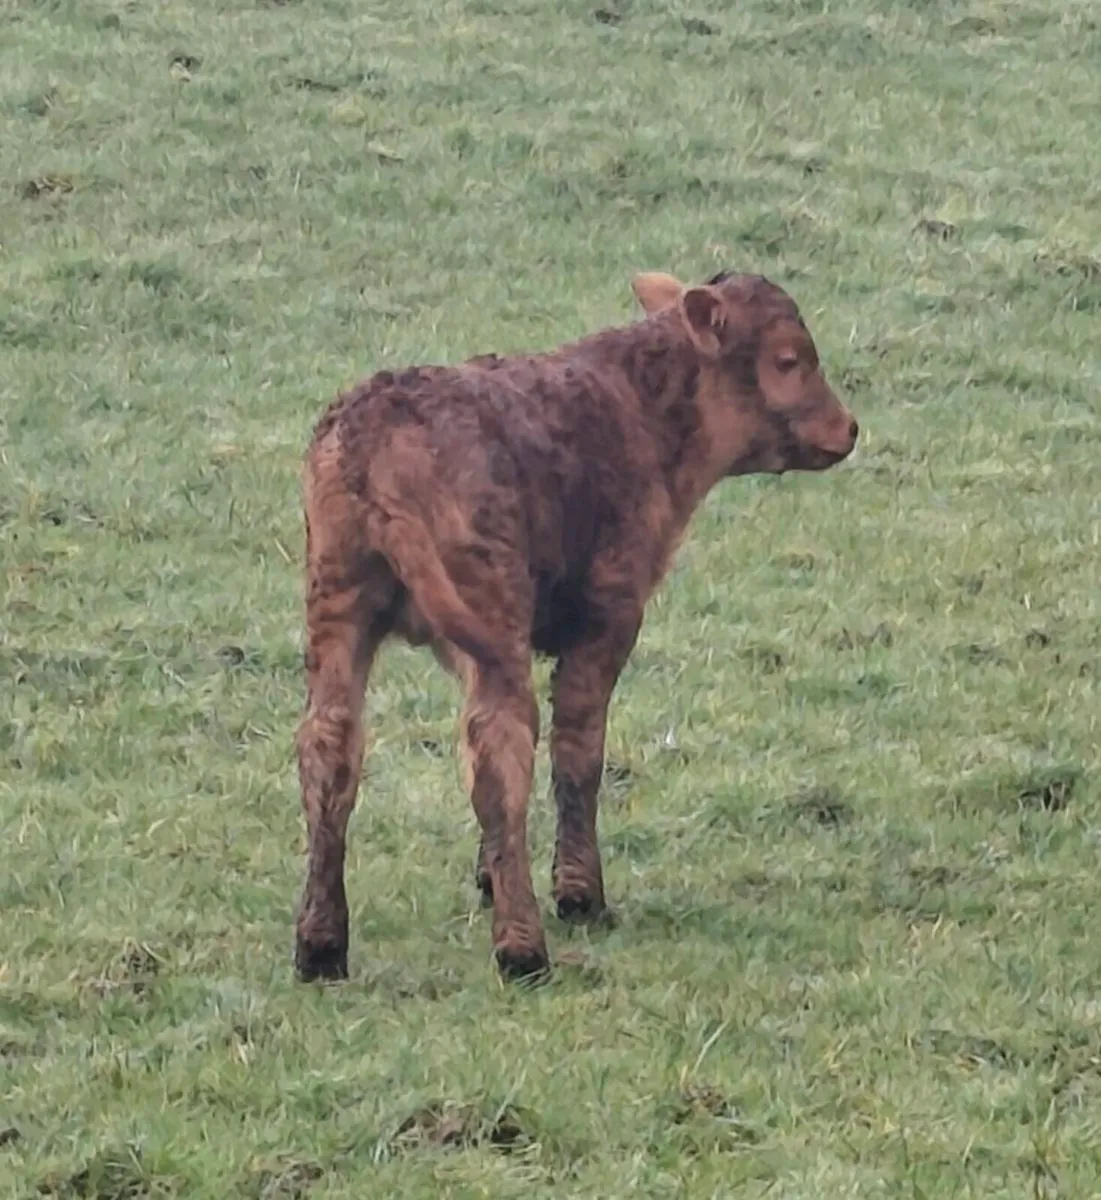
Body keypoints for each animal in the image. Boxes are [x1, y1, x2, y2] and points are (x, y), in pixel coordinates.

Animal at [293, 268, 859, 983]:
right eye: (788, 360)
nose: (849, 428)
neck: (641, 410)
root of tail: (376, 429)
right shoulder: (609, 615)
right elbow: (579, 750)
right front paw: (579, 894)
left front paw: (489, 874)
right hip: (489, 614)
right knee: (501, 755)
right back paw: (523, 950)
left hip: (337, 607)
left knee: (330, 747)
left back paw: (320, 946)